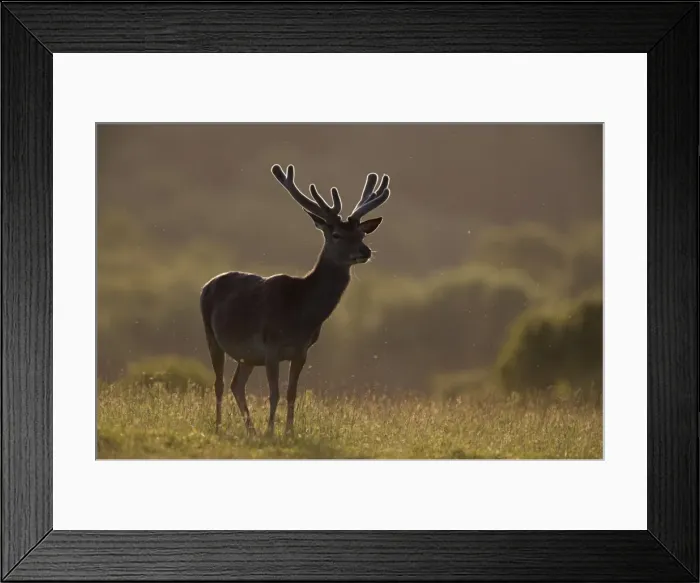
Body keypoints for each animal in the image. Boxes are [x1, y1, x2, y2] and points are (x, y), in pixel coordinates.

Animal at [199, 164, 391, 436]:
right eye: (336, 234)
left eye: (361, 234)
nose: (365, 251)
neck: (300, 315)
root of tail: (207, 284)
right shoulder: (271, 346)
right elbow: (274, 393)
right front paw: (271, 432)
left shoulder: (302, 351)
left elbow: (291, 393)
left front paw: (288, 432)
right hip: (211, 335)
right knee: (220, 383)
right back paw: (219, 427)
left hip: (247, 355)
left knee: (237, 385)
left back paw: (251, 430)